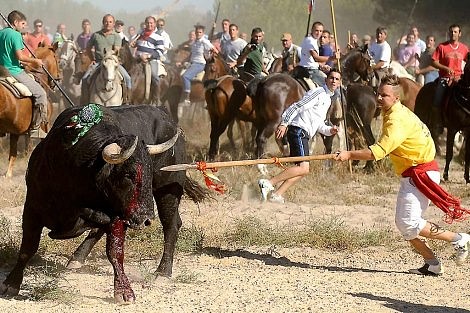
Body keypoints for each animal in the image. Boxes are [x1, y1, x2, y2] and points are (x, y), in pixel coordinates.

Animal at [0, 42, 60, 177]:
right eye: (57, 59)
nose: (58, 78)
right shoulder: (43, 126)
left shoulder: (15, 131)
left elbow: (13, 154)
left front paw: (8, 175)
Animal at [0, 105, 207, 302]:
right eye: (129, 175)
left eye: (149, 174)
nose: (146, 218)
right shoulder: (32, 207)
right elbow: (27, 249)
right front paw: (10, 284)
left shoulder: (117, 215)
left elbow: (115, 251)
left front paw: (123, 291)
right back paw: (77, 258)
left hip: (167, 191)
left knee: (171, 225)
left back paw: (163, 272)